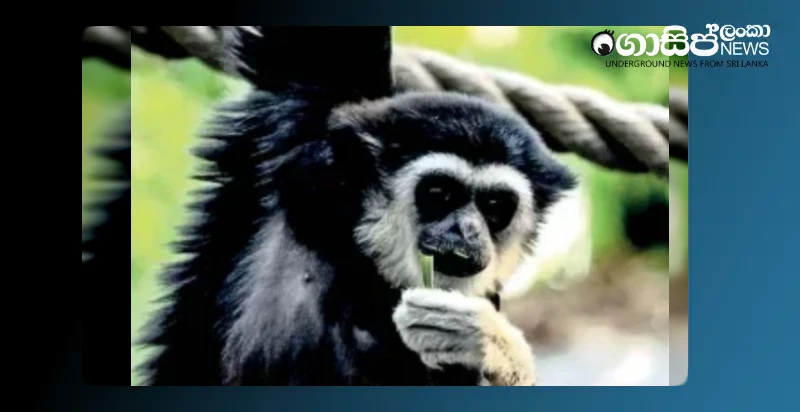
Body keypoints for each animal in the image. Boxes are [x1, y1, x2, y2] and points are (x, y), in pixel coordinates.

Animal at [136, 26, 578, 386]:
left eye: (495, 206)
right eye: (438, 193)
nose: (466, 229)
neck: (359, 257)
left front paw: (488, 345)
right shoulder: (304, 154)